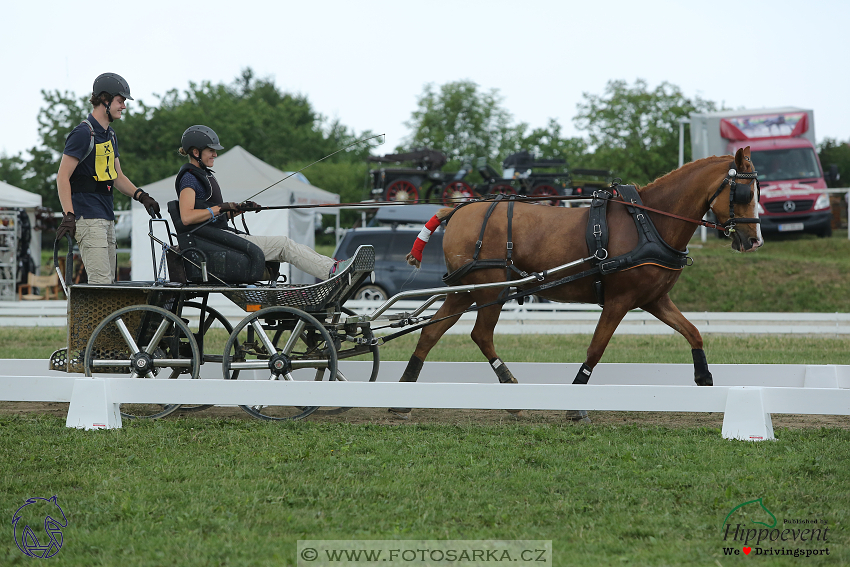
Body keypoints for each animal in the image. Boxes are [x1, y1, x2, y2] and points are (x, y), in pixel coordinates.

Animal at [390, 149, 760, 420]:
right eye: (743, 192)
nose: (754, 240)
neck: (648, 222)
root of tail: (457, 210)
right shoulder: (619, 300)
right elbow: (596, 348)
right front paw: (576, 401)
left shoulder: (654, 299)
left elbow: (693, 332)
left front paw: (705, 379)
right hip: (490, 290)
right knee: (479, 334)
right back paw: (509, 389)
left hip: (467, 291)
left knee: (432, 332)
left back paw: (403, 395)